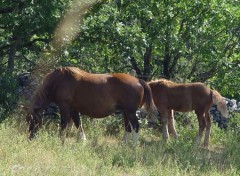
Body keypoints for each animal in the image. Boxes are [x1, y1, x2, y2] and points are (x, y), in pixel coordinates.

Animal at [27, 66, 158, 144]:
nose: (30, 138)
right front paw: (82, 140)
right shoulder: (74, 109)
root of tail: (139, 80)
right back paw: (123, 144)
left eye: (32, 121)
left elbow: (64, 124)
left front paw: (61, 140)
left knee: (135, 126)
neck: (59, 80)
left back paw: (134, 146)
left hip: (130, 112)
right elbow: (78, 123)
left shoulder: (65, 107)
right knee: (128, 127)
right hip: (126, 112)